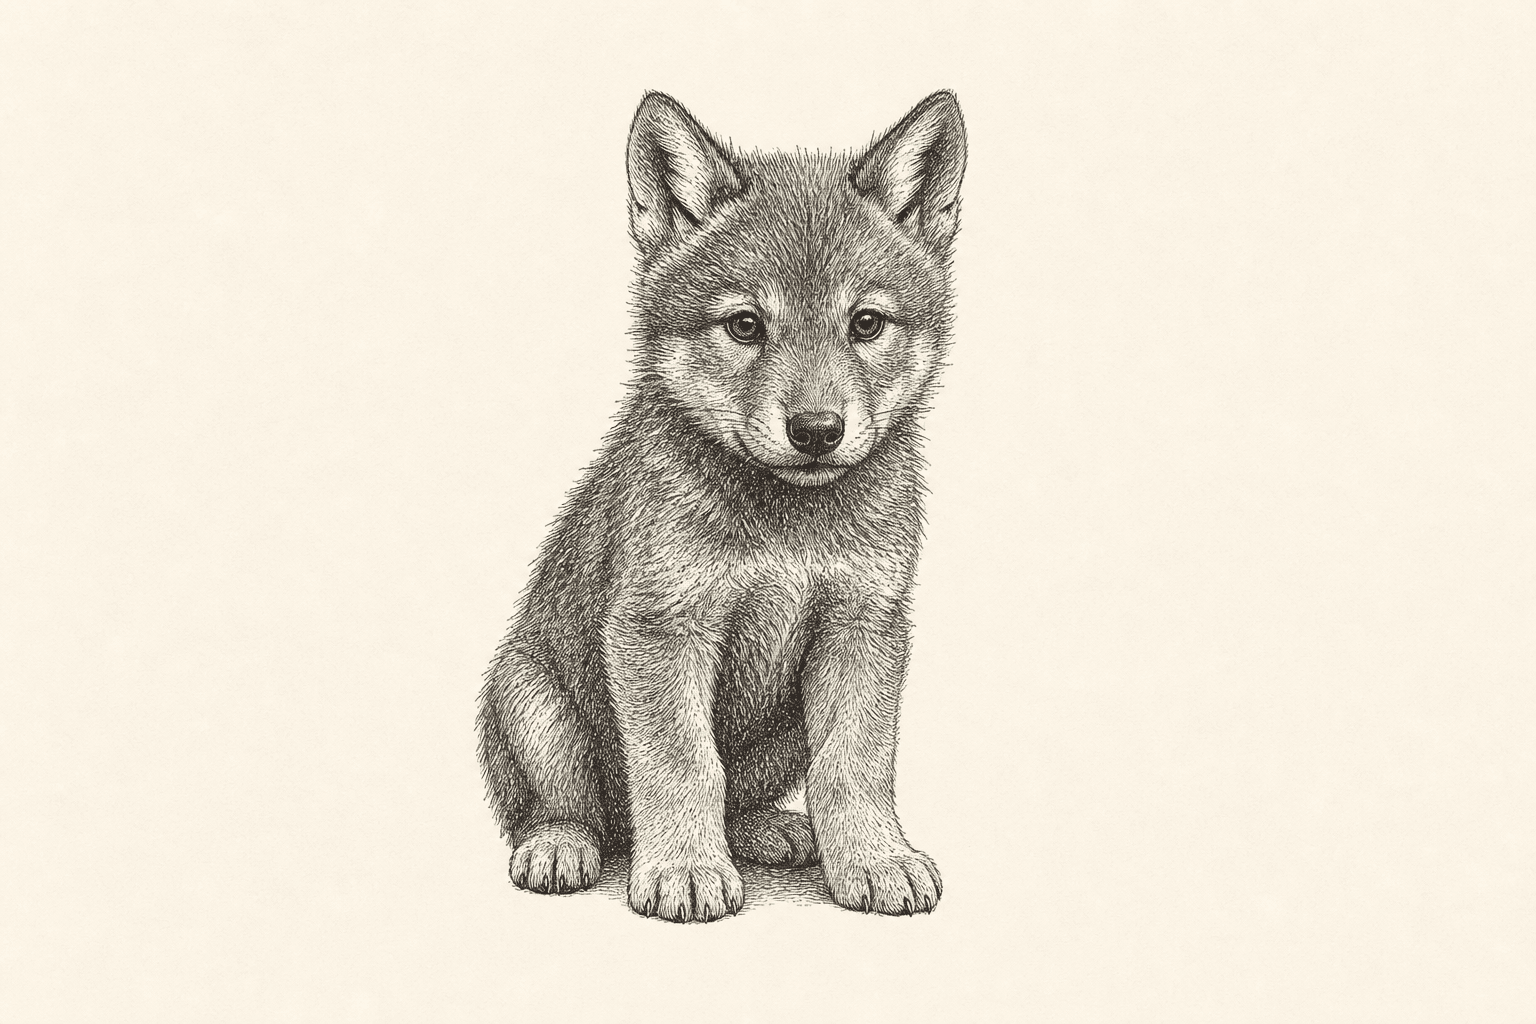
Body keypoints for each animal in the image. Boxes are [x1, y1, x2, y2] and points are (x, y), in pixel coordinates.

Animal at [476, 90, 966, 922]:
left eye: (865, 324)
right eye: (745, 325)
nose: (817, 431)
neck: (787, 523)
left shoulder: (862, 628)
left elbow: (855, 764)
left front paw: (876, 860)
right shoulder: (658, 631)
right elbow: (682, 764)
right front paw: (683, 870)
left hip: (784, 728)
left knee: (743, 791)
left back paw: (767, 829)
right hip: (531, 701)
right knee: (563, 806)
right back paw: (561, 845)